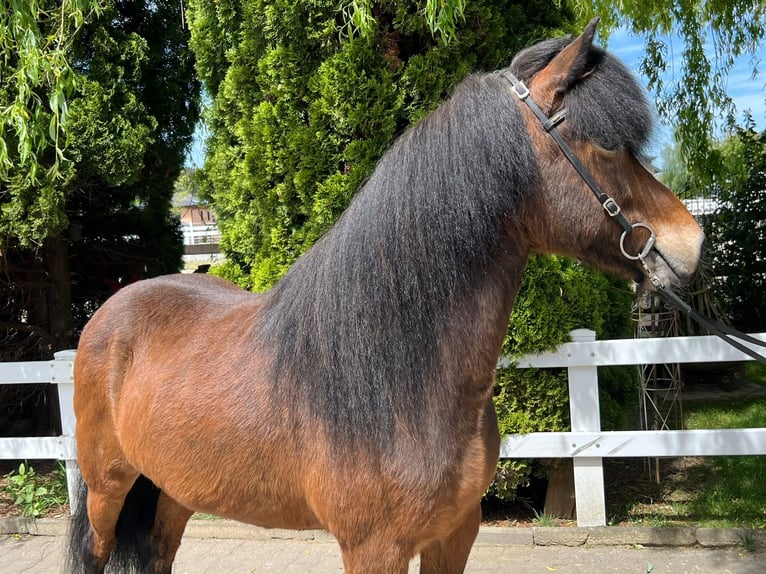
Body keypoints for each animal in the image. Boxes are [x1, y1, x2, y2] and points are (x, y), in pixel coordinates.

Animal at [69, 18, 704, 574]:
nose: (691, 242)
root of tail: (109, 314)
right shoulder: (374, 547)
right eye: (606, 145)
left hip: (174, 488)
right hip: (106, 489)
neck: (401, 373)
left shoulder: (456, 533)